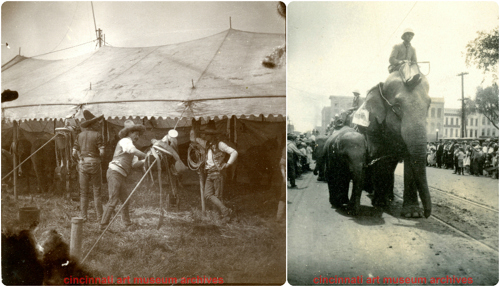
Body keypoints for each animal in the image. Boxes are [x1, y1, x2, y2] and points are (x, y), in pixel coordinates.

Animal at [350, 71, 432, 217]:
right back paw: (373, 193)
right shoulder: (373, 126)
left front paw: (413, 214)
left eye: (428, 106)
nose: (426, 214)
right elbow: (380, 158)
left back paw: (389, 197)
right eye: (397, 106)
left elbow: (409, 159)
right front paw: (380, 204)